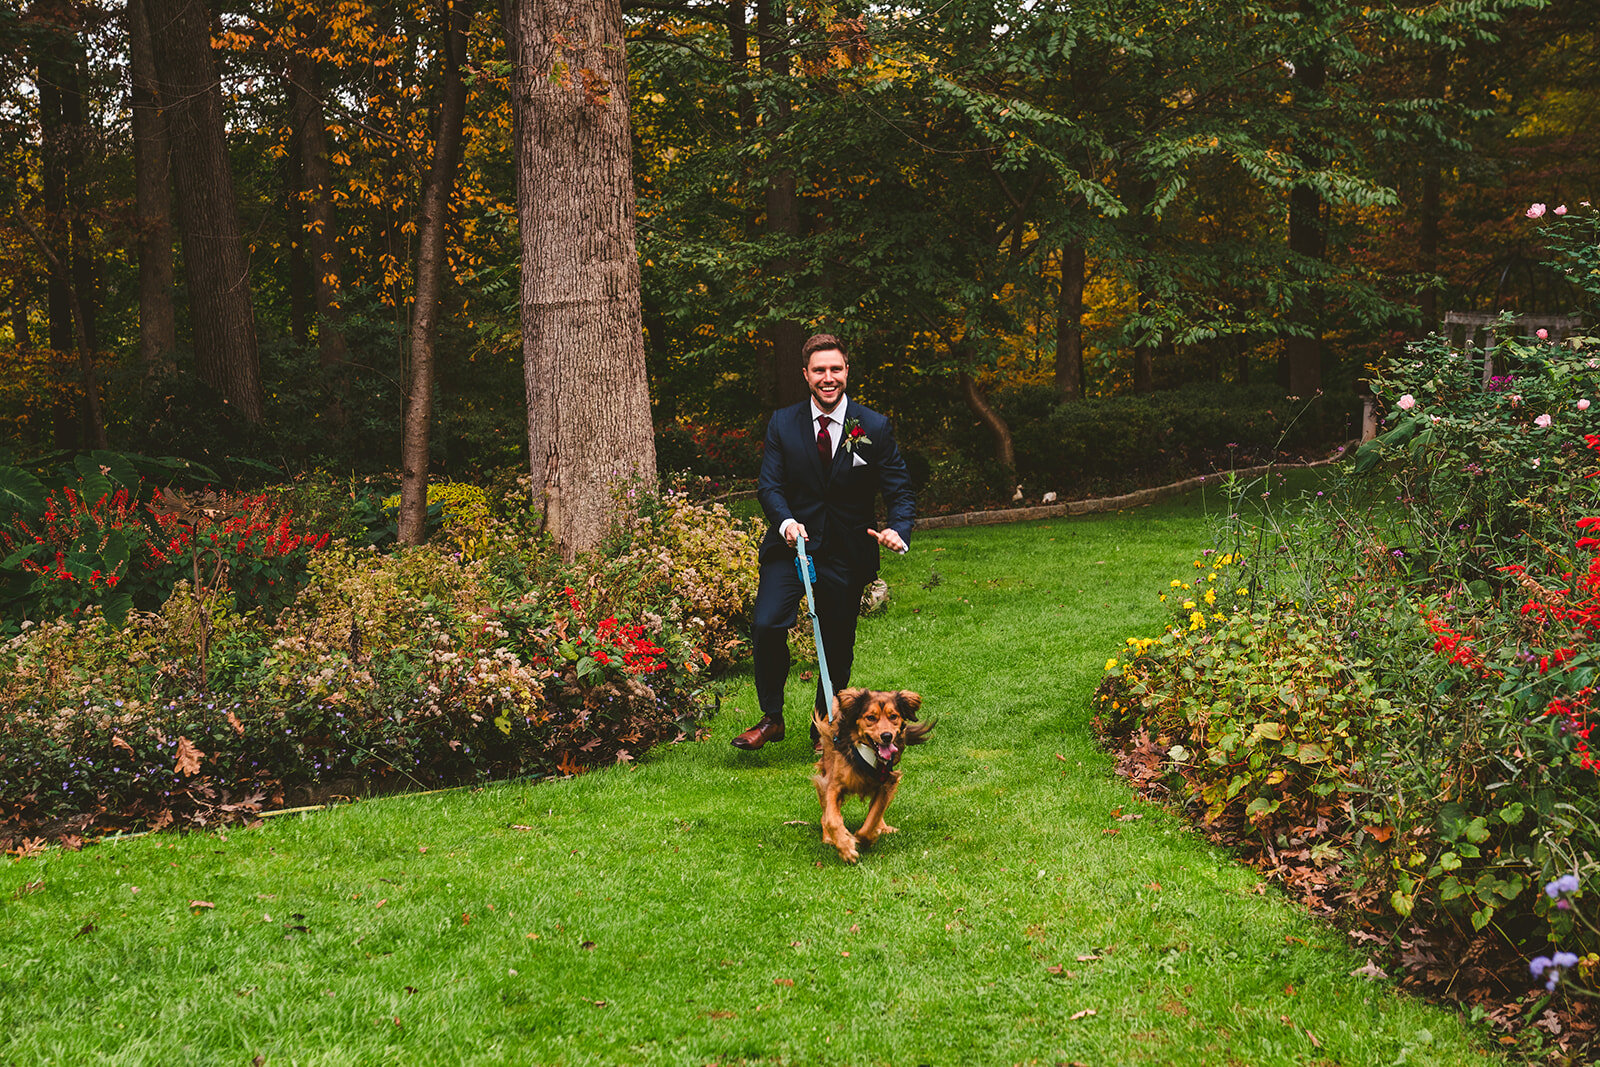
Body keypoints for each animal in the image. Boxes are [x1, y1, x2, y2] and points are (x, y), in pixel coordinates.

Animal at [812, 687, 928, 863]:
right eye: (871, 718)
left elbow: (874, 815)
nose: (886, 736)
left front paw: (866, 837)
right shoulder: (834, 785)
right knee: (826, 813)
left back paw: (883, 828)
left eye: (893, 716)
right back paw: (829, 837)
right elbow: (833, 819)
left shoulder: (887, 783)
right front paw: (845, 848)